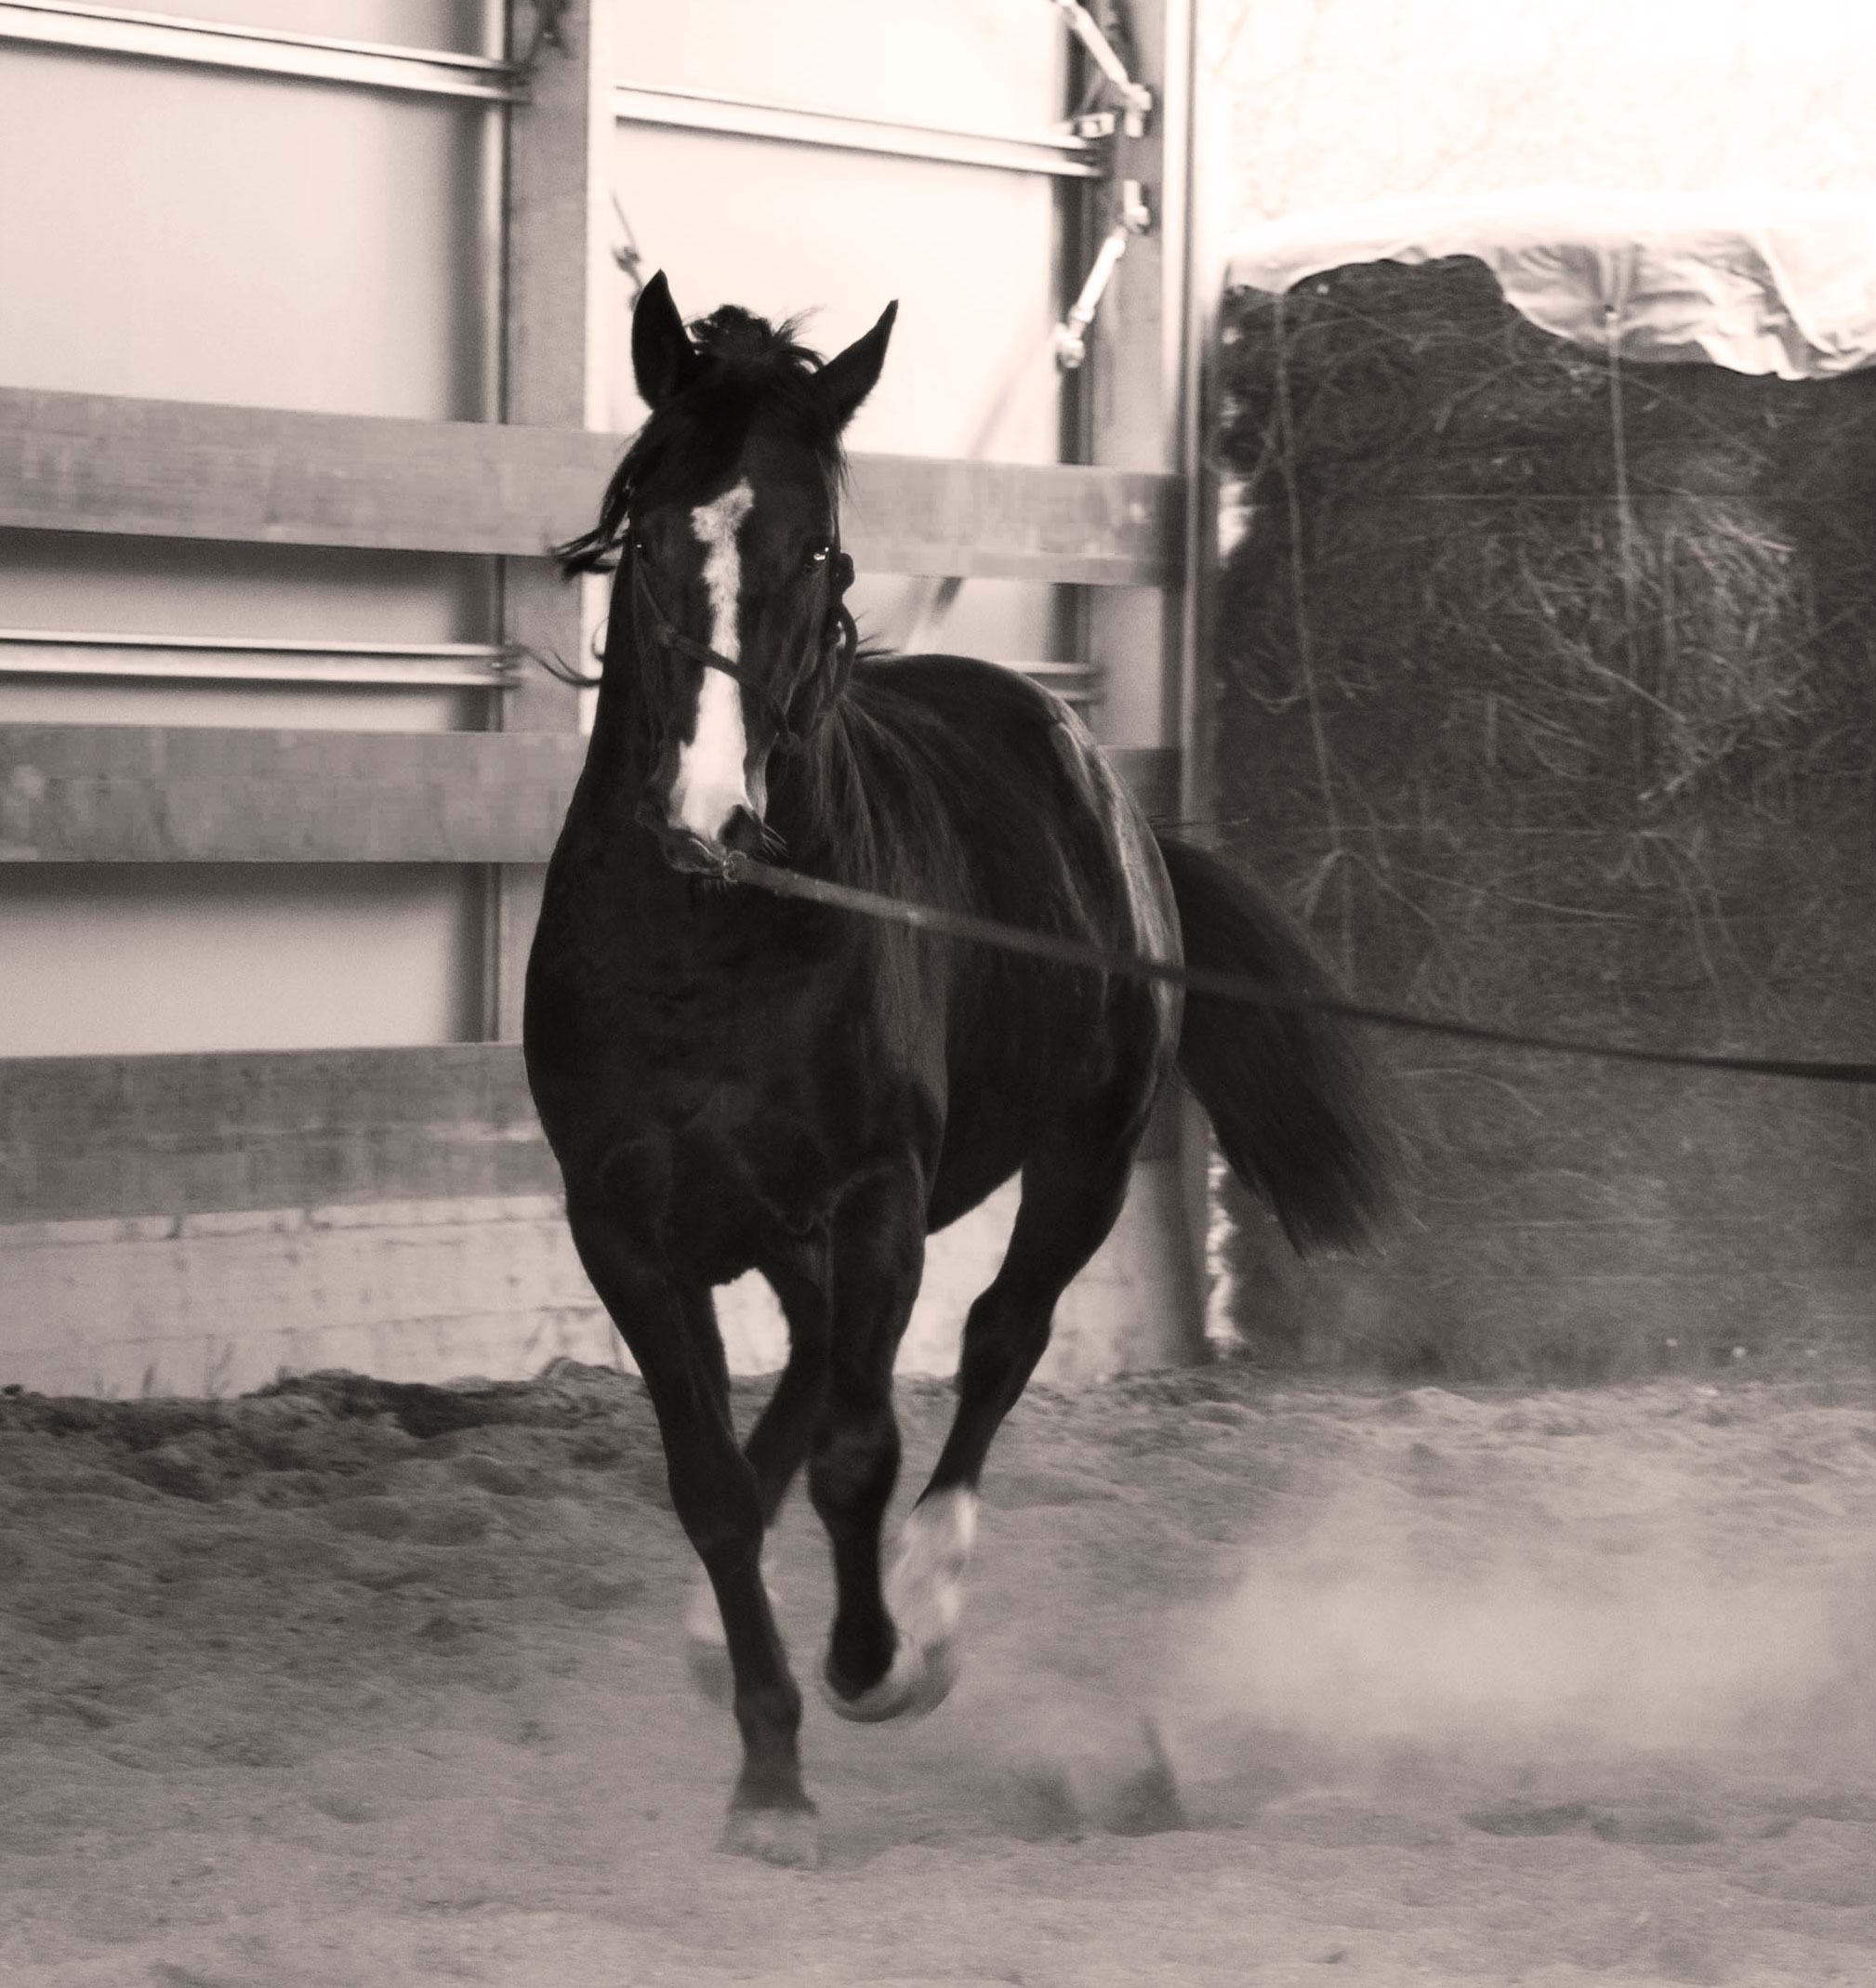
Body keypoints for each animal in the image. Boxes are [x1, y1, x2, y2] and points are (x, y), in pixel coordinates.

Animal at [523, 271, 1394, 1867]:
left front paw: (868, 1664)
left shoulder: (876, 1195)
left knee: (994, 1342)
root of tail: (1097, 775)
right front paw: (767, 1768)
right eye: (657, 537)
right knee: (813, 1372)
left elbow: (865, 1449)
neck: (708, 938)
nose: (712, 813)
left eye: (821, 546)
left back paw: (921, 1604)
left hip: (1084, 1155)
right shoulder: (623, 1226)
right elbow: (712, 1481)